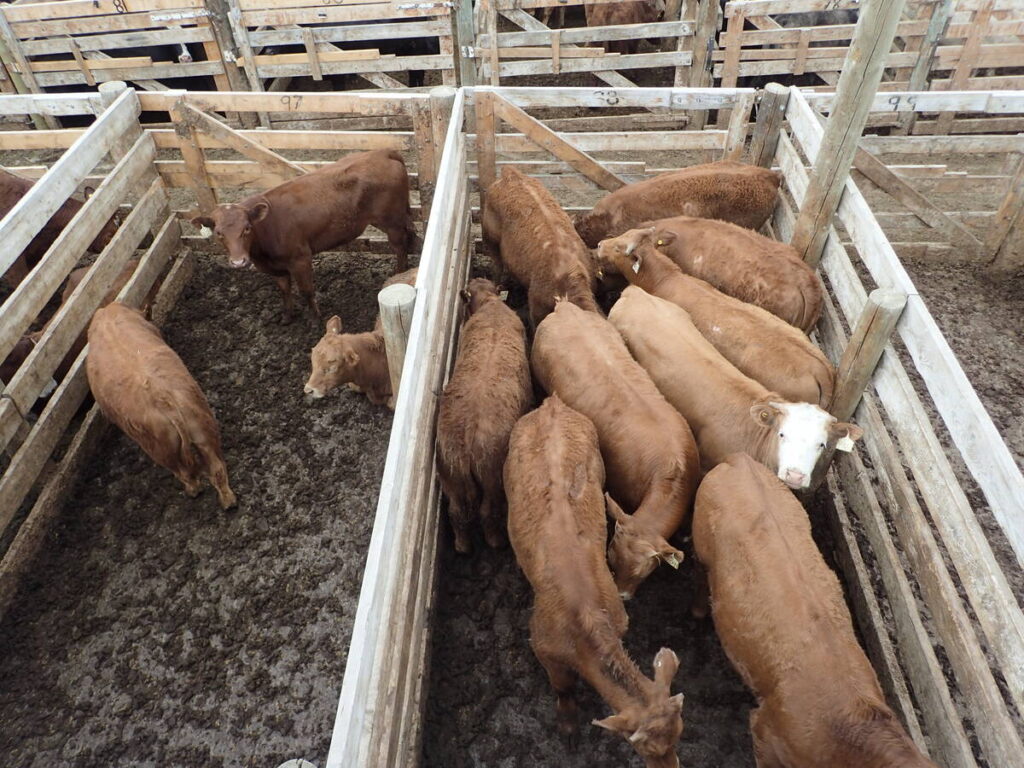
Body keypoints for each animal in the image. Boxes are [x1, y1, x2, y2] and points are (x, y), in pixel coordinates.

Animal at [86, 302, 236, 510]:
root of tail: (161, 398)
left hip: (162, 450)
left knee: (184, 473)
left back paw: (193, 491)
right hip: (203, 429)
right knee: (217, 469)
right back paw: (228, 502)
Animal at [191, 149, 416, 324]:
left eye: (247, 228)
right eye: (219, 233)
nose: (239, 262)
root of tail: (382, 152)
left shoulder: (300, 258)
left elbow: (306, 290)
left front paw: (315, 319)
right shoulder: (275, 268)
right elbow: (284, 290)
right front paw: (287, 317)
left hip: (391, 221)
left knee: (400, 245)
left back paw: (399, 272)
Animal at [436, 278, 532, 553]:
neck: (490, 304)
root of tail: (467, 442)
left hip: (451, 477)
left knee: (457, 513)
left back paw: (462, 546)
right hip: (492, 478)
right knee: (487, 513)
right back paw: (495, 542)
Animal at [505, 394, 685, 767]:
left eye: (680, 732)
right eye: (643, 747)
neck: (585, 622)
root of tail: (551, 405)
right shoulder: (543, 647)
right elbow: (562, 688)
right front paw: (569, 727)